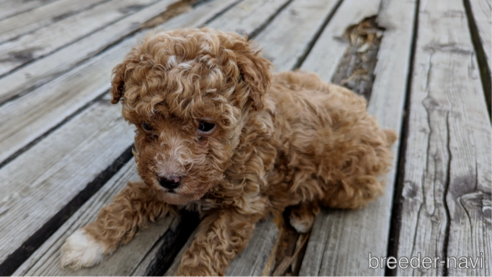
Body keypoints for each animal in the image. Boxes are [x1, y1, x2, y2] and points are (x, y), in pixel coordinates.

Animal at [60, 27, 396, 274]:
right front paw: (89, 240)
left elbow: (208, 248)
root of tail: (380, 127)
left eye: (206, 126)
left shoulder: (242, 207)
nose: (169, 179)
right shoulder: (157, 179)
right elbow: (130, 198)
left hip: (351, 186)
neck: (236, 148)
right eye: (145, 124)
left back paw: (302, 213)